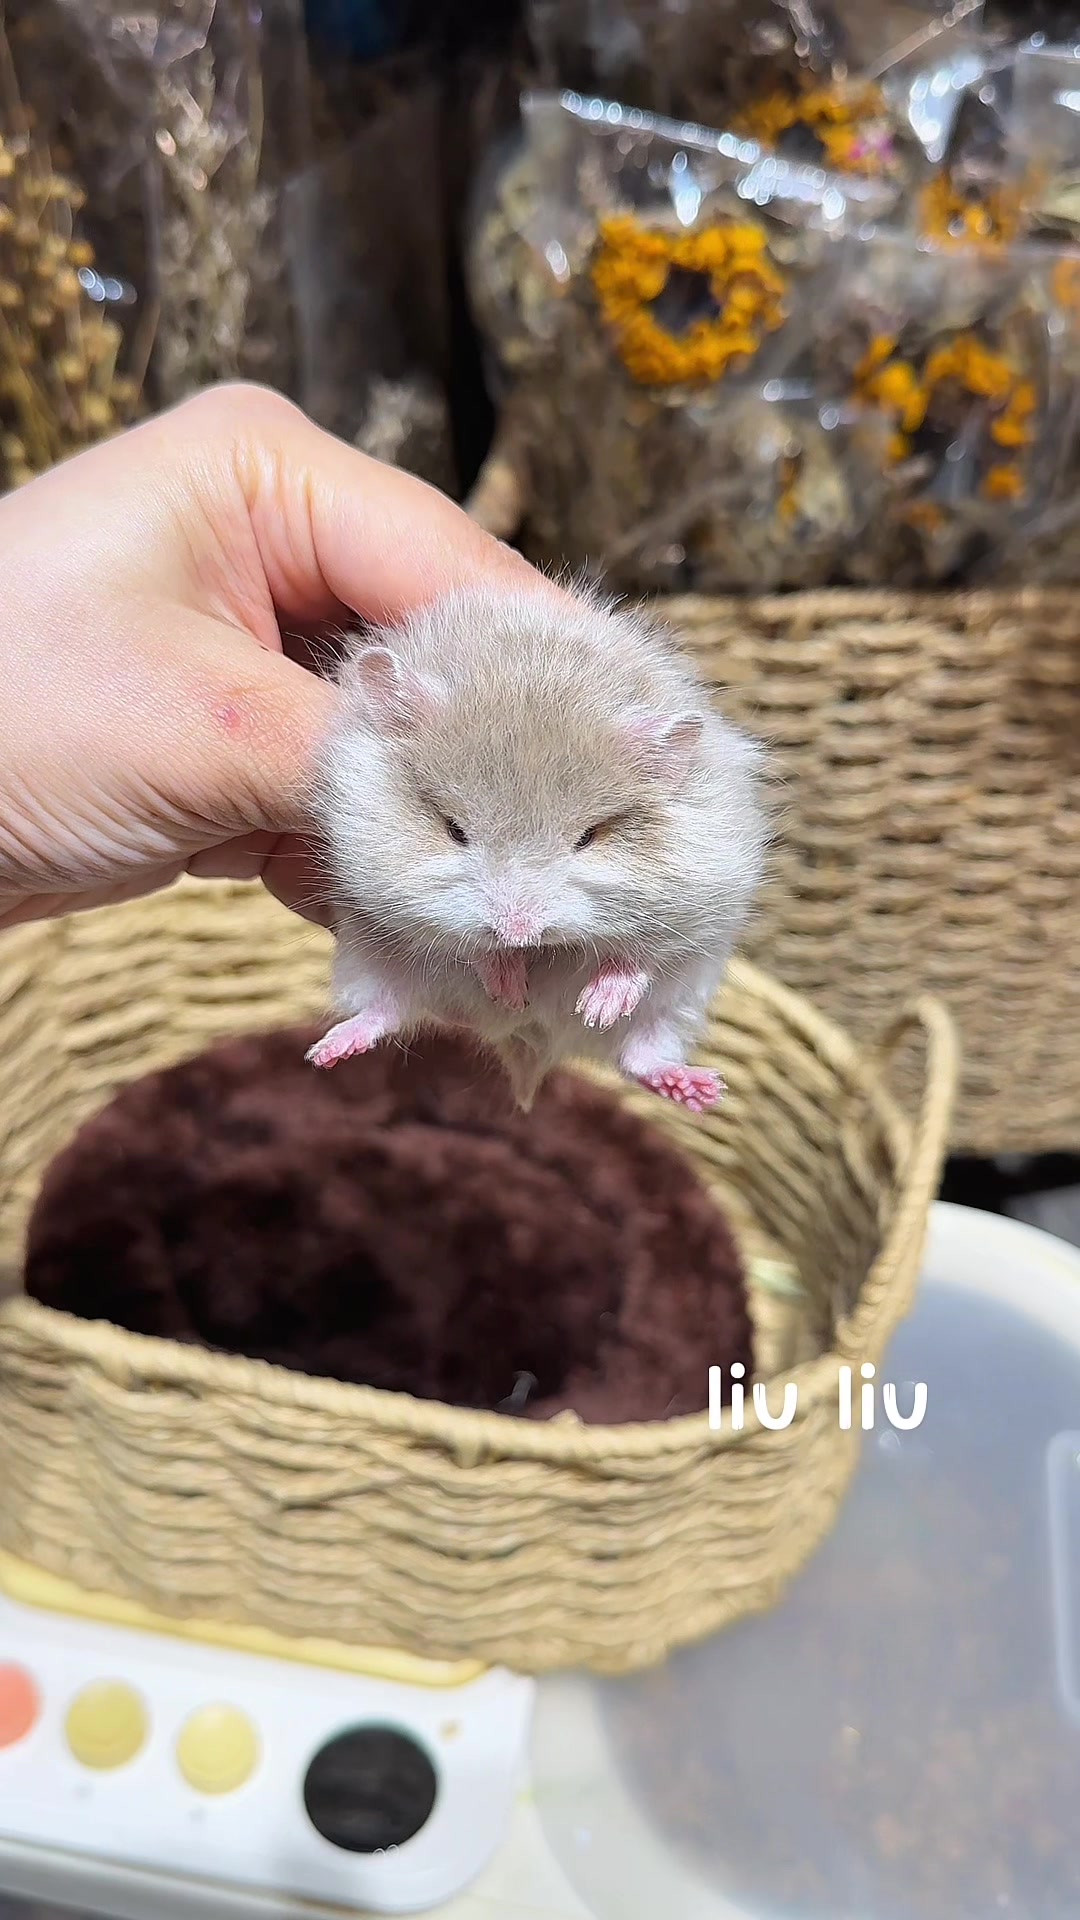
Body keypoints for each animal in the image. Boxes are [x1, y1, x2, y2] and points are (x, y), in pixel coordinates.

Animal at [305, 580, 766, 1114]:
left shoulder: (703, 898)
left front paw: (599, 1006)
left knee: (641, 1056)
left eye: (588, 838)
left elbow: (643, 952)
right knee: (386, 1011)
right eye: (454, 829)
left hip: (679, 1004)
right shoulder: (380, 889)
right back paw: (329, 1052)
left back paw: (697, 1088)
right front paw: (509, 983)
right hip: (367, 966)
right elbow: (457, 940)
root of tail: (528, 1044)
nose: (519, 933)